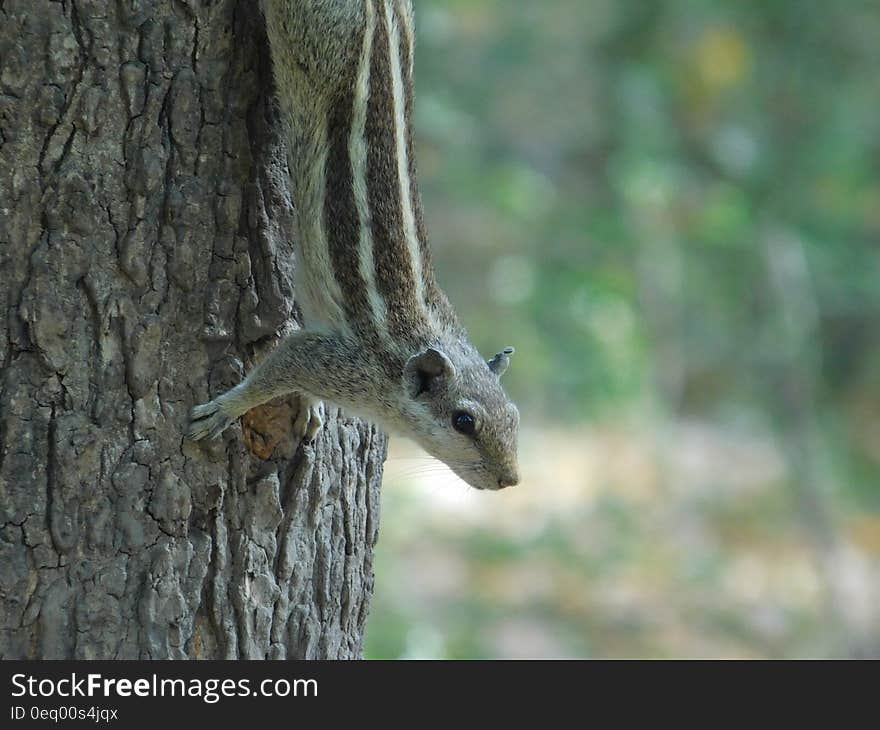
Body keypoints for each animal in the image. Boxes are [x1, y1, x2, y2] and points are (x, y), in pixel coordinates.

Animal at [186, 1, 520, 490]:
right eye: (464, 422)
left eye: (514, 416)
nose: (510, 480)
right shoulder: (334, 364)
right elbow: (274, 372)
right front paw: (225, 409)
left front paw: (309, 407)